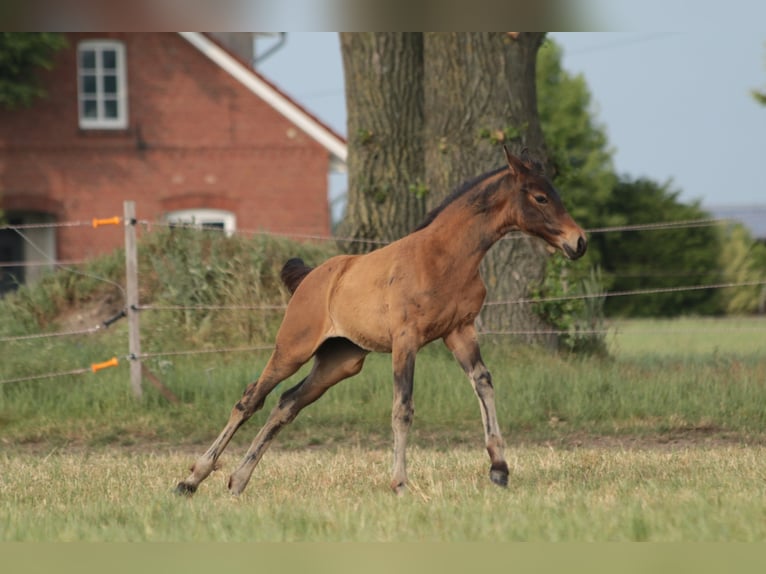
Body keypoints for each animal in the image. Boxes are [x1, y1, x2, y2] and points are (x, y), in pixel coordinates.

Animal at [178, 146, 588, 498]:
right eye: (540, 197)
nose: (579, 242)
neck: (446, 257)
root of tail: (311, 277)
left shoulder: (460, 331)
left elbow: (483, 384)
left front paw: (499, 469)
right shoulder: (406, 339)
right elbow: (402, 408)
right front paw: (400, 484)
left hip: (340, 361)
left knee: (287, 403)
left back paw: (238, 480)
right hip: (293, 348)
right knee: (251, 400)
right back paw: (191, 479)